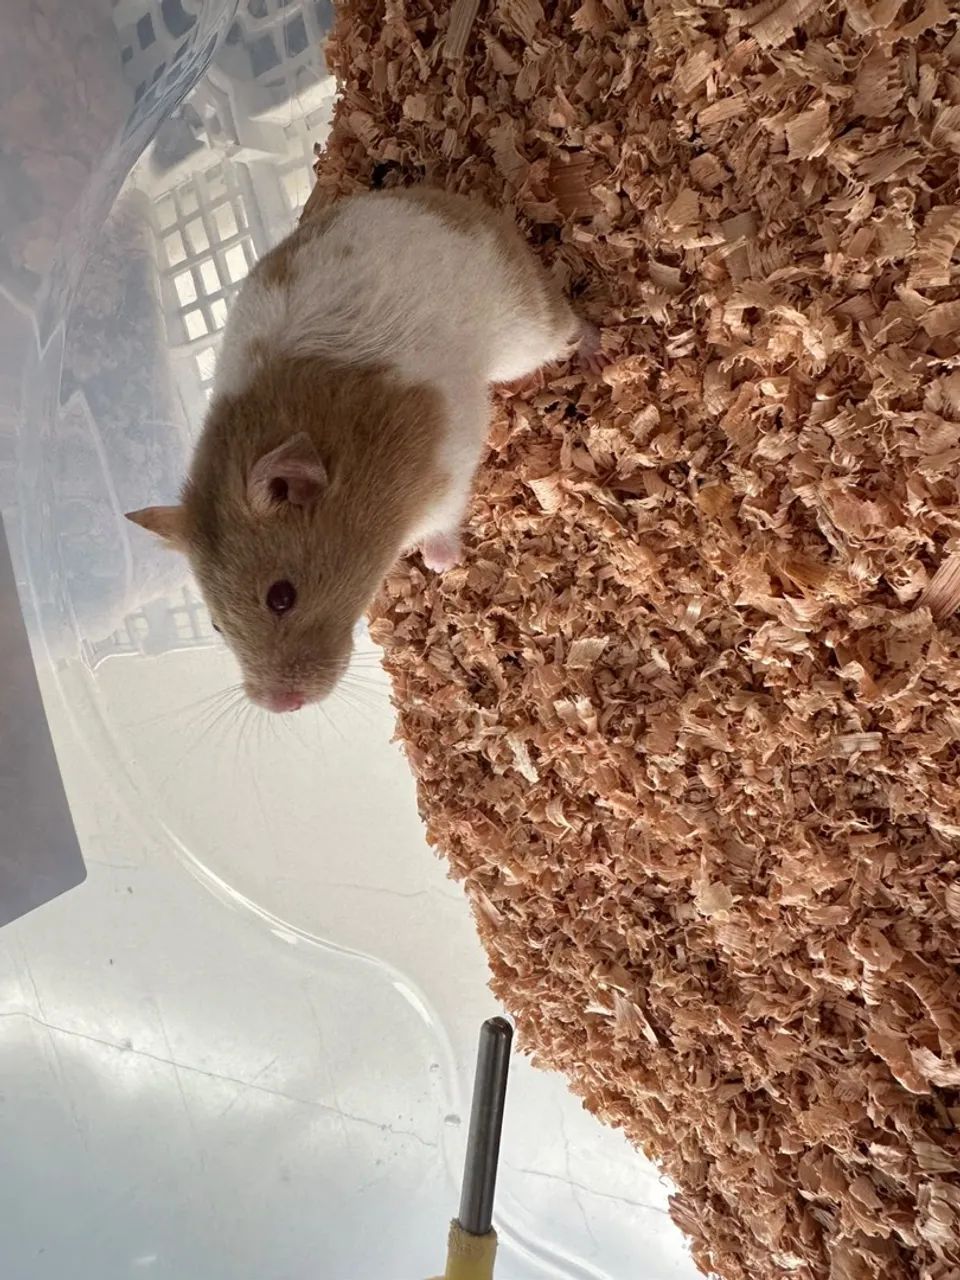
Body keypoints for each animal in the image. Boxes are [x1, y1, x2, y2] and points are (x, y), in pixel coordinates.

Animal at [126, 186, 603, 713]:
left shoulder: (447, 471)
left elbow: (443, 521)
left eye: (281, 597)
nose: (281, 706)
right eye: (214, 624)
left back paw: (597, 352)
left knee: (570, 324)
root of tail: (458, 203)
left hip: (525, 332)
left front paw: (441, 564)